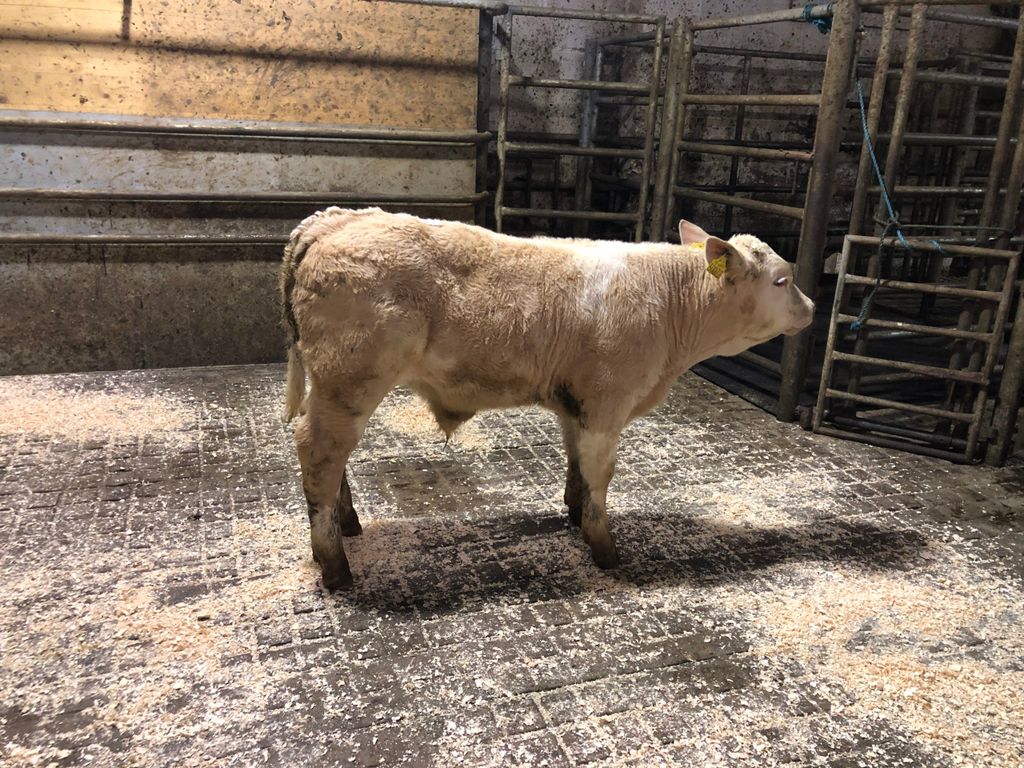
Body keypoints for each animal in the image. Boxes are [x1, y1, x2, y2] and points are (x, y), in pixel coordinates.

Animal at [280, 207, 814, 589]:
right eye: (783, 280)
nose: (811, 307)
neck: (669, 301)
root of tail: (333, 219)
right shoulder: (606, 403)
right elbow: (601, 473)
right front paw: (604, 549)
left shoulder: (574, 403)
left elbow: (577, 467)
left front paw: (575, 516)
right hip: (348, 381)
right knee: (319, 453)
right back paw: (334, 563)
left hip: (333, 386)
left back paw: (347, 525)